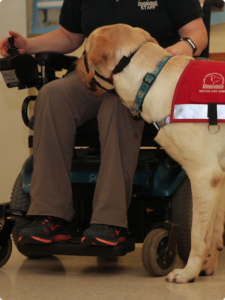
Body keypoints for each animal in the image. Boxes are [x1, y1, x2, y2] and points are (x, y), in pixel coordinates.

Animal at [76, 24, 225, 284]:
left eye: (84, 50)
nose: (72, 66)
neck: (151, 80)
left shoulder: (205, 175)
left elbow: (198, 236)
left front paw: (188, 273)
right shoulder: (220, 178)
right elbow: (215, 231)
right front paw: (207, 266)